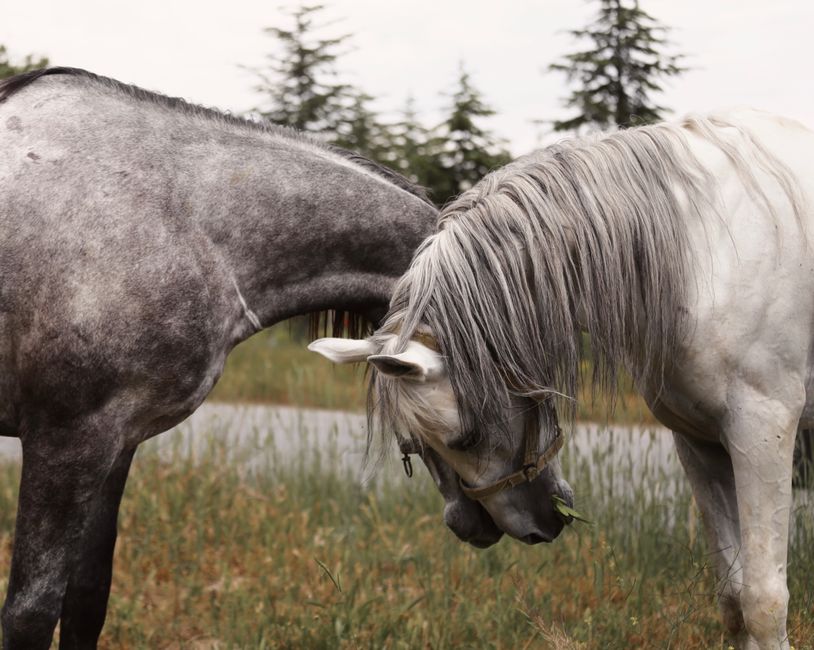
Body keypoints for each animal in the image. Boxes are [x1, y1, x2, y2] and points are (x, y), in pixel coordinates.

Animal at [310, 109, 814, 649]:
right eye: (413, 448)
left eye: (466, 438)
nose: (537, 524)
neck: (700, 251)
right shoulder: (700, 443)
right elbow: (734, 599)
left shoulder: (762, 432)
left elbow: (764, 602)